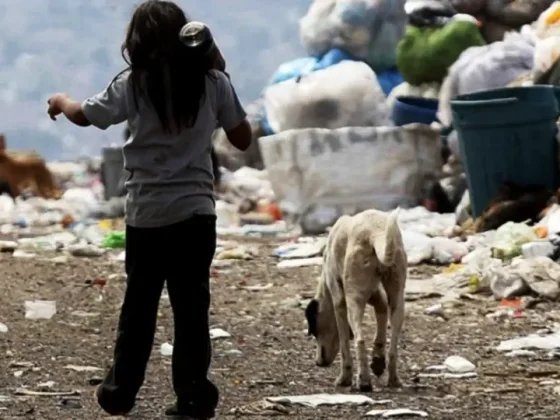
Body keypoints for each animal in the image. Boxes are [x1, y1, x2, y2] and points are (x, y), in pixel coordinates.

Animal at [306, 209, 406, 390]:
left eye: (315, 331)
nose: (318, 363)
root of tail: (375, 233)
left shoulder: (339, 302)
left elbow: (344, 342)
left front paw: (344, 378)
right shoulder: (376, 295)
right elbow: (381, 315)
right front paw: (378, 360)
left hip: (354, 300)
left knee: (360, 340)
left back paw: (364, 380)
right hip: (397, 296)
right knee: (393, 345)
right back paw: (393, 379)